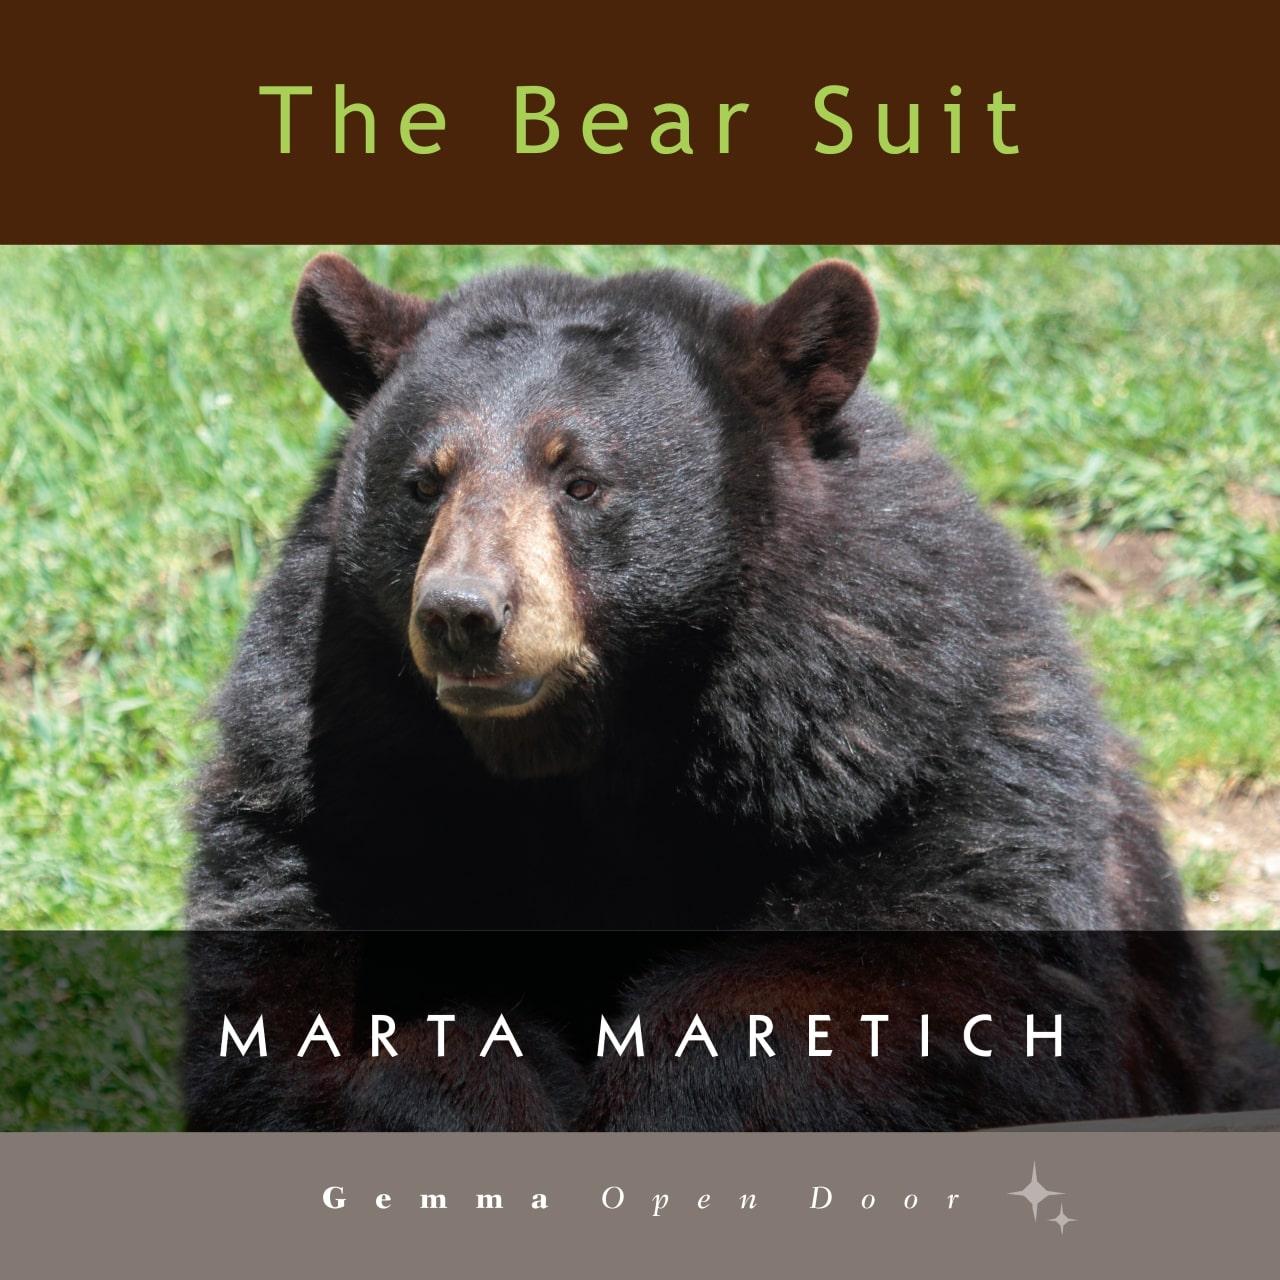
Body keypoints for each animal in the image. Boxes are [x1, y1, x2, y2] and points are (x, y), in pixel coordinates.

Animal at [185, 252, 1234, 1131]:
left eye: (581, 481)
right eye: (423, 483)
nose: (463, 614)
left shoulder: (913, 773)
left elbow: (900, 996)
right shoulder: (346, 790)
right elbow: (312, 1012)